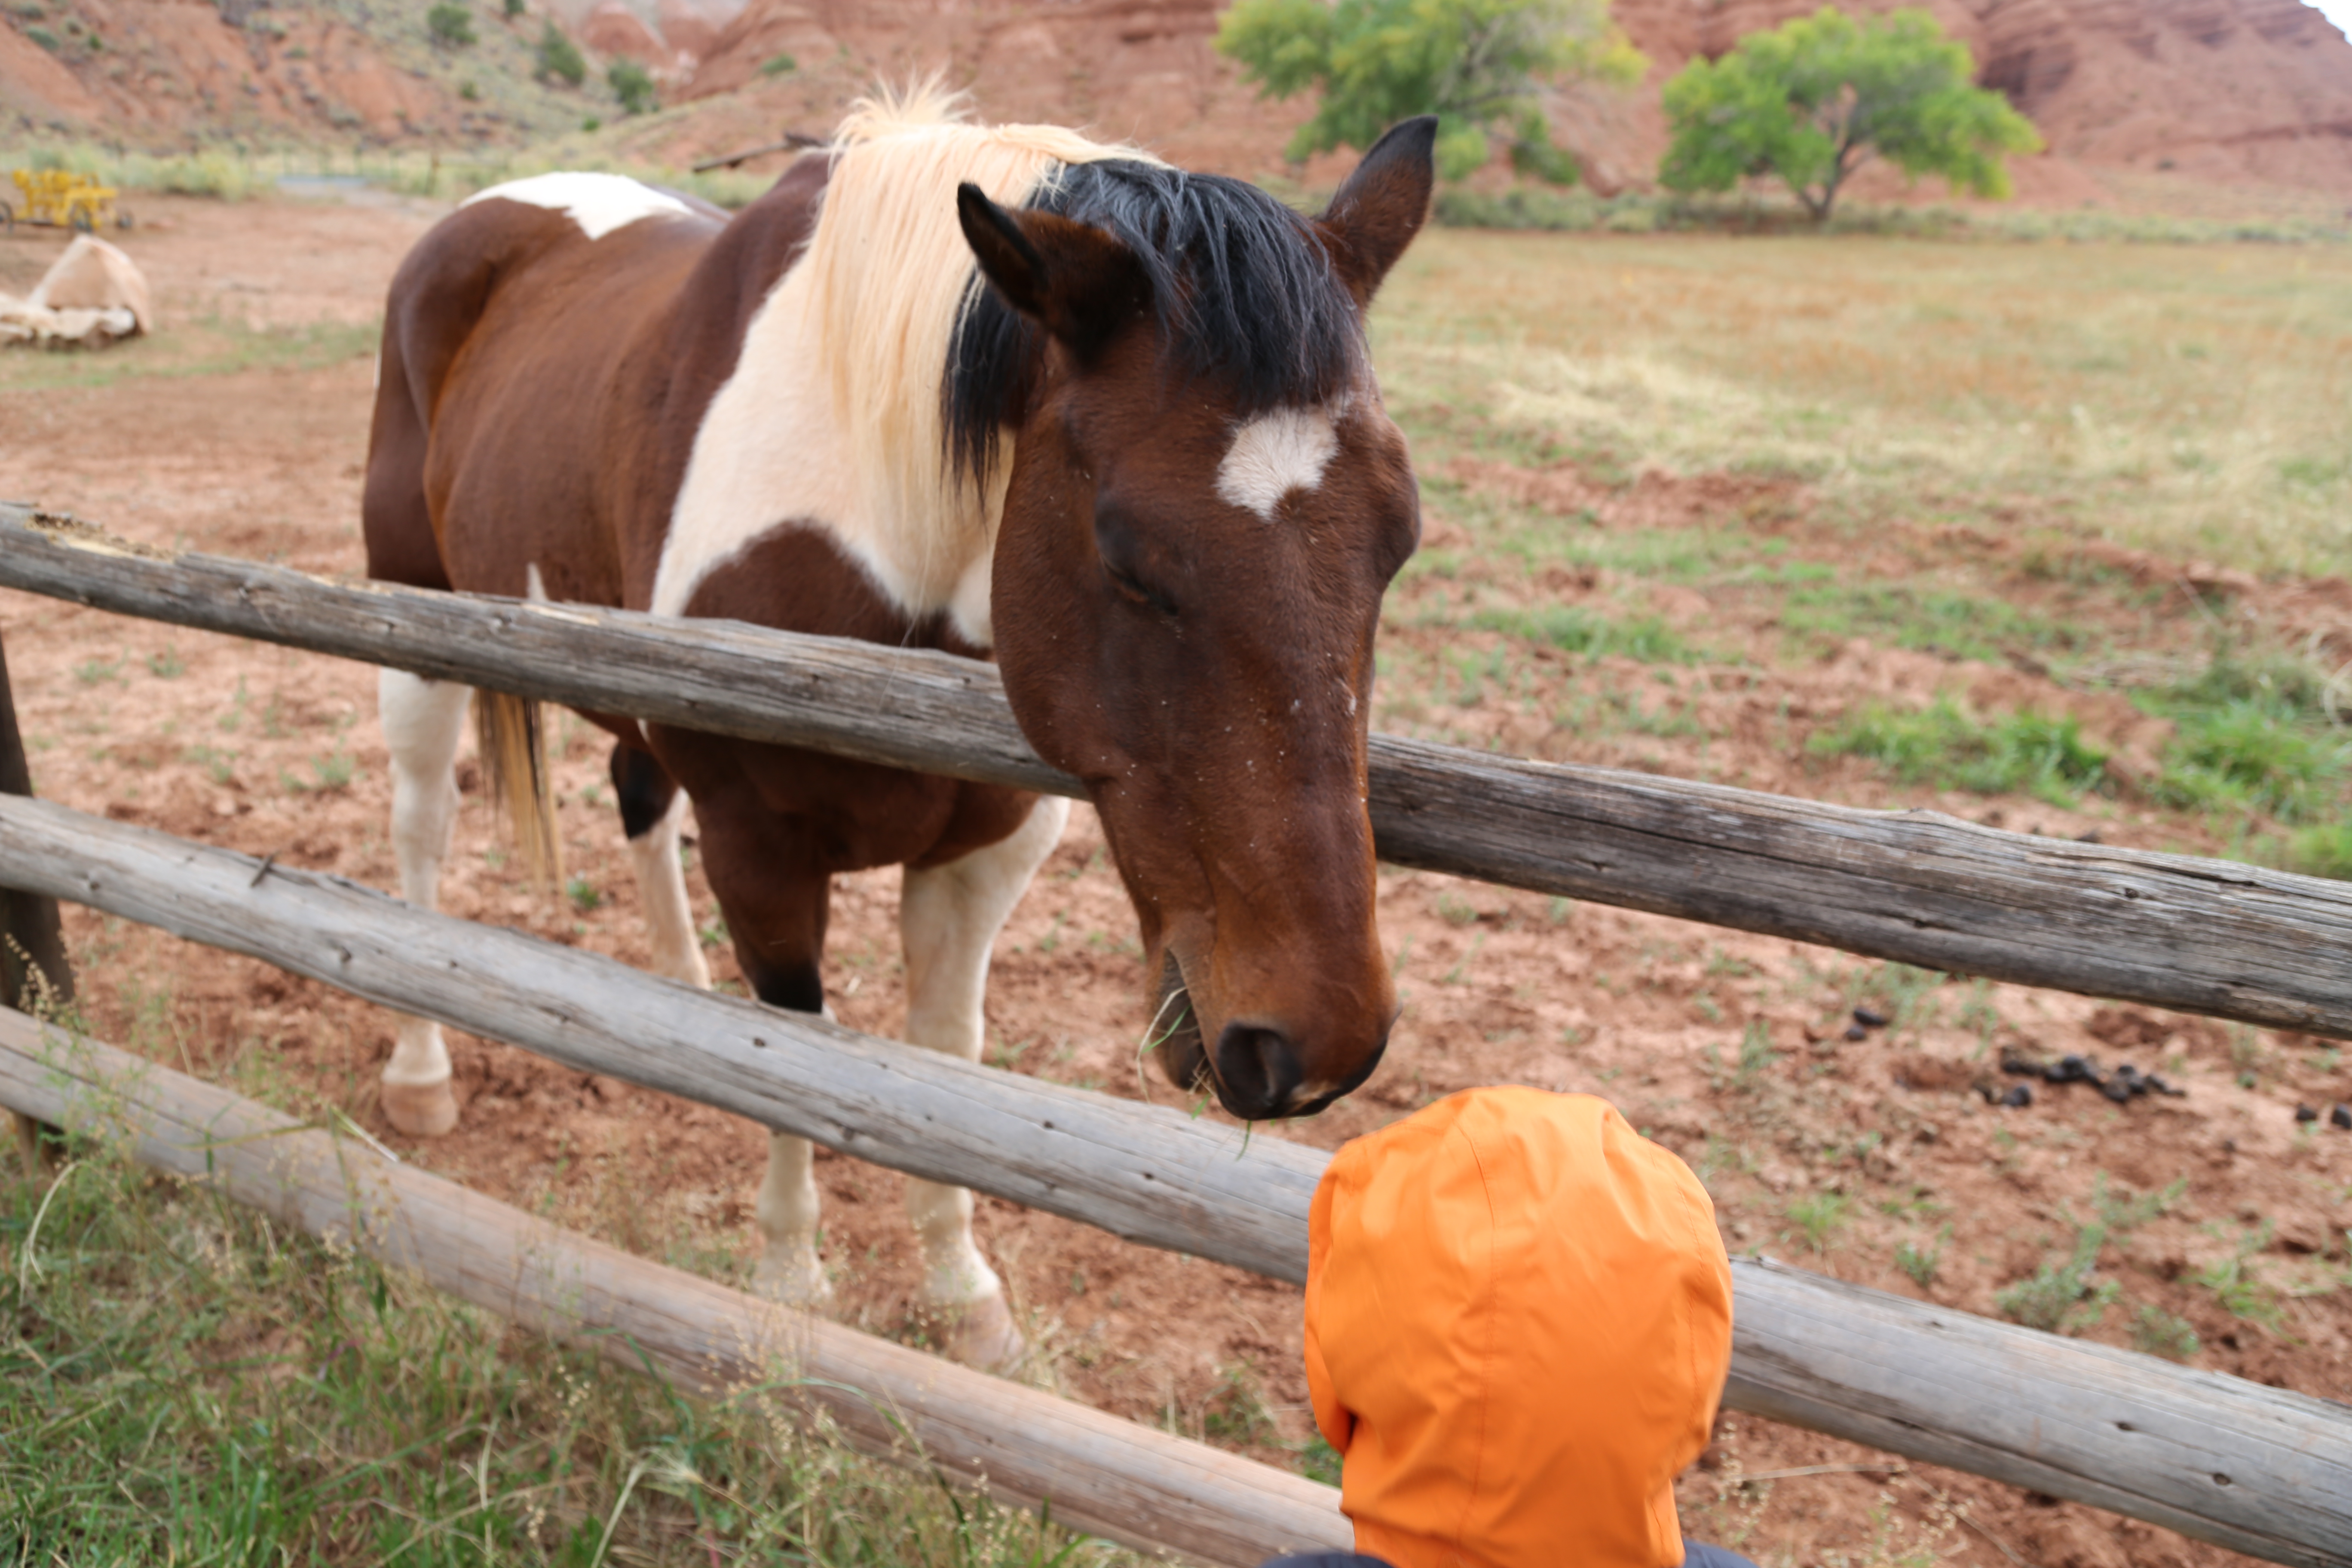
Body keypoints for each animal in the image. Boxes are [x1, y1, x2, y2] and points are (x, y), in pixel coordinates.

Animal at [367, 95, 1430, 1363]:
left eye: (1400, 540)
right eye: (1126, 554)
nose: (1319, 1046)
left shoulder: (986, 856)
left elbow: (941, 1063)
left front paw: (961, 1290)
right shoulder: (758, 847)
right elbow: (795, 1044)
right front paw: (789, 1275)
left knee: (636, 800)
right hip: (415, 629)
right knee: (421, 834)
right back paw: (421, 1071)